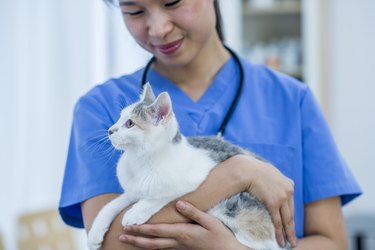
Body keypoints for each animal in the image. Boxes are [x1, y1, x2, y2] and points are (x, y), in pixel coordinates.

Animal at [87, 83, 290, 250]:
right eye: (119, 117)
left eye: (130, 123)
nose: (110, 130)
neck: (140, 160)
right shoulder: (132, 191)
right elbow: (112, 204)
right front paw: (95, 233)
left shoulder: (194, 178)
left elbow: (160, 196)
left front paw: (136, 212)